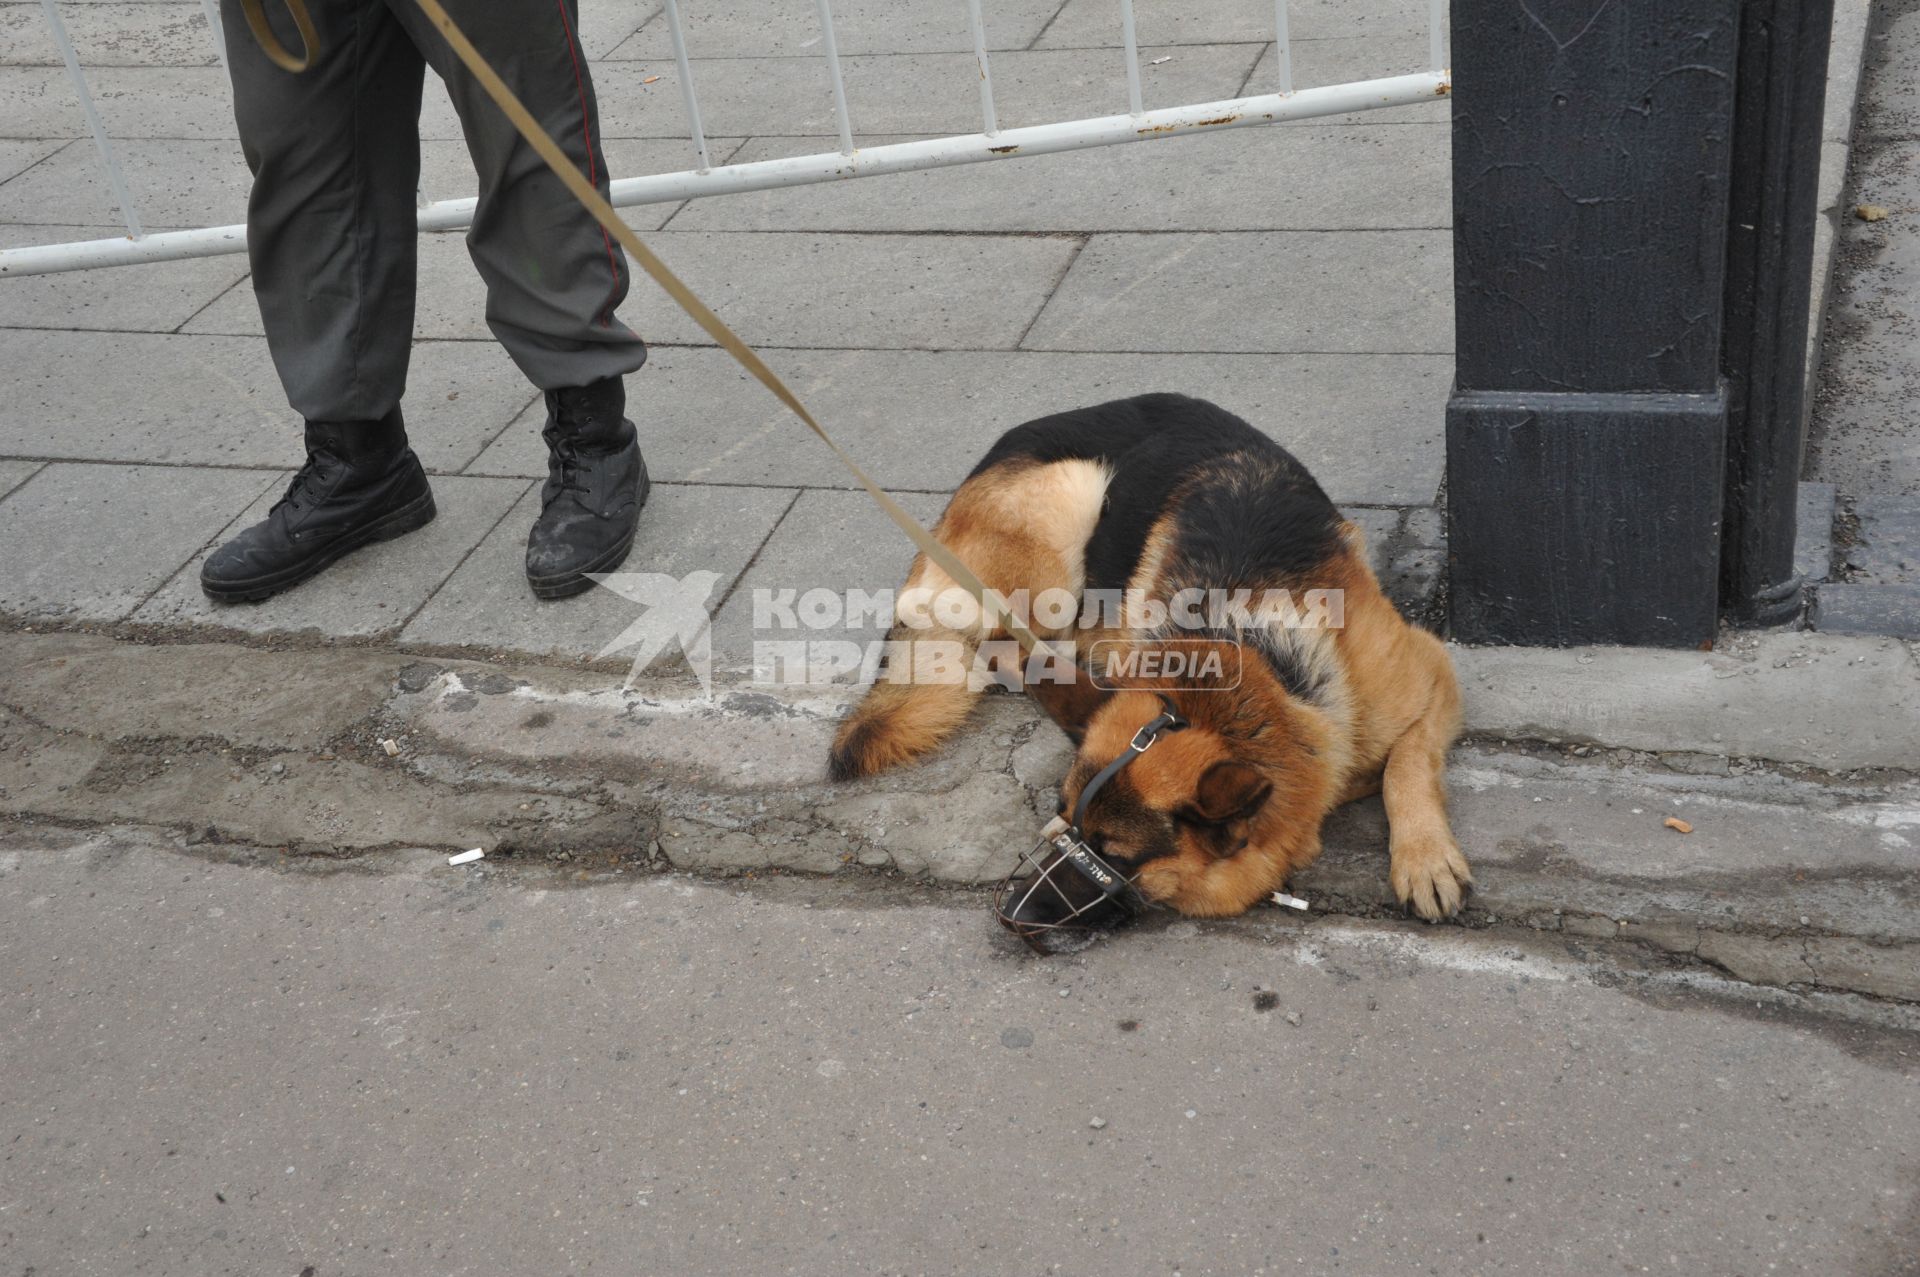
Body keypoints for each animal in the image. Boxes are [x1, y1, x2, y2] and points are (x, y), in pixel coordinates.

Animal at [825, 395, 1466, 937]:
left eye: (1114, 857)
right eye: (1068, 822)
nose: (1010, 914)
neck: (1249, 651)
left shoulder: (1432, 670)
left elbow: (1407, 762)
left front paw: (1424, 858)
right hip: (1070, 507)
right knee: (996, 645)